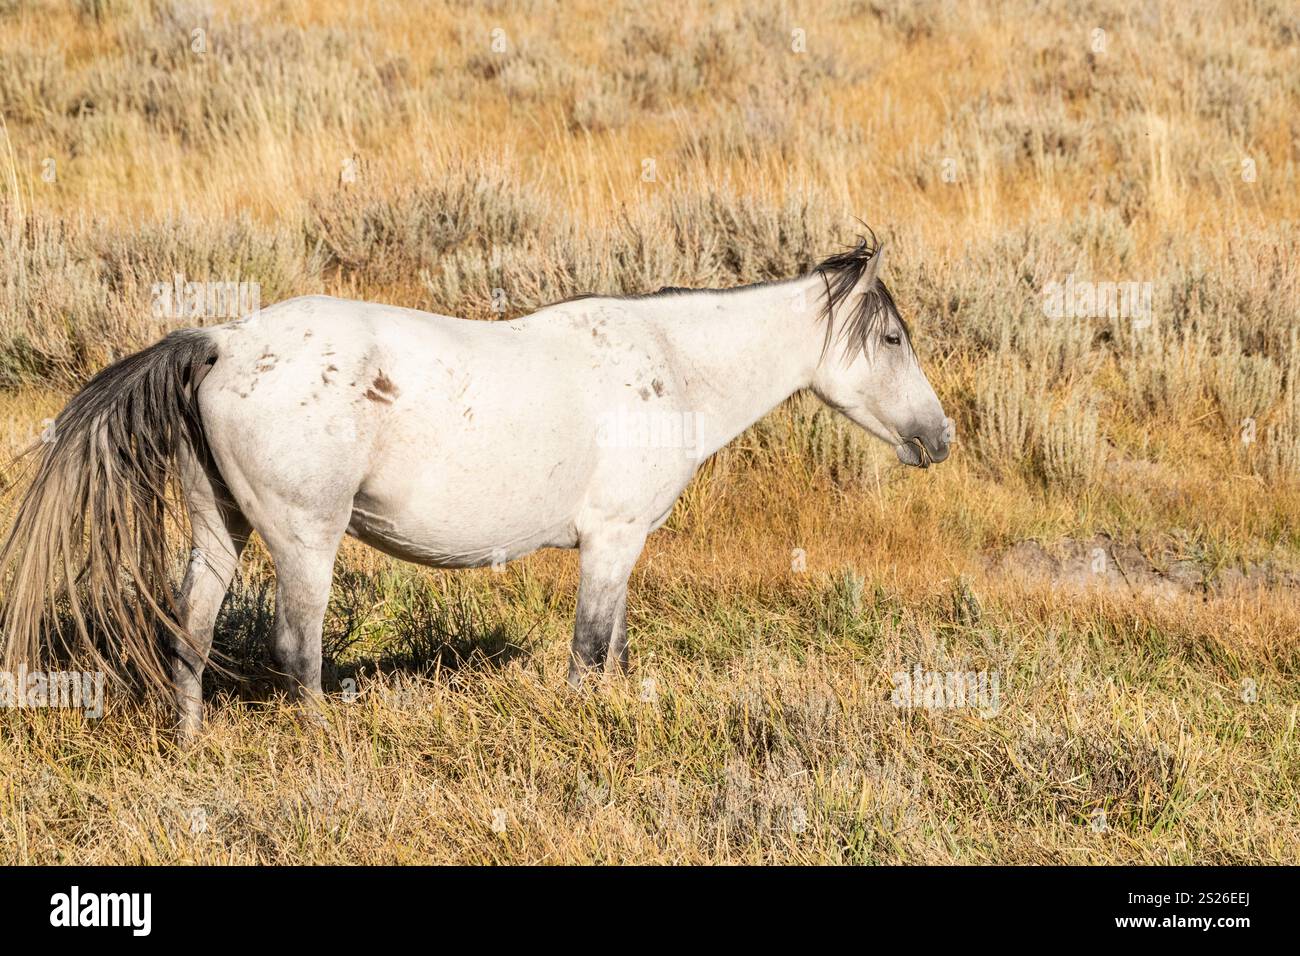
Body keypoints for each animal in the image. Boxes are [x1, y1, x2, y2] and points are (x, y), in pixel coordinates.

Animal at [0, 236, 953, 741]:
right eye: (894, 338)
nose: (938, 438)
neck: (671, 363)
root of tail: (223, 341)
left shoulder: (621, 550)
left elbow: (614, 651)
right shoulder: (611, 542)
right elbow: (589, 657)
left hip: (219, 528)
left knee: (190, 632)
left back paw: (190, 740)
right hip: (305, 538)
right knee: (295, 650)